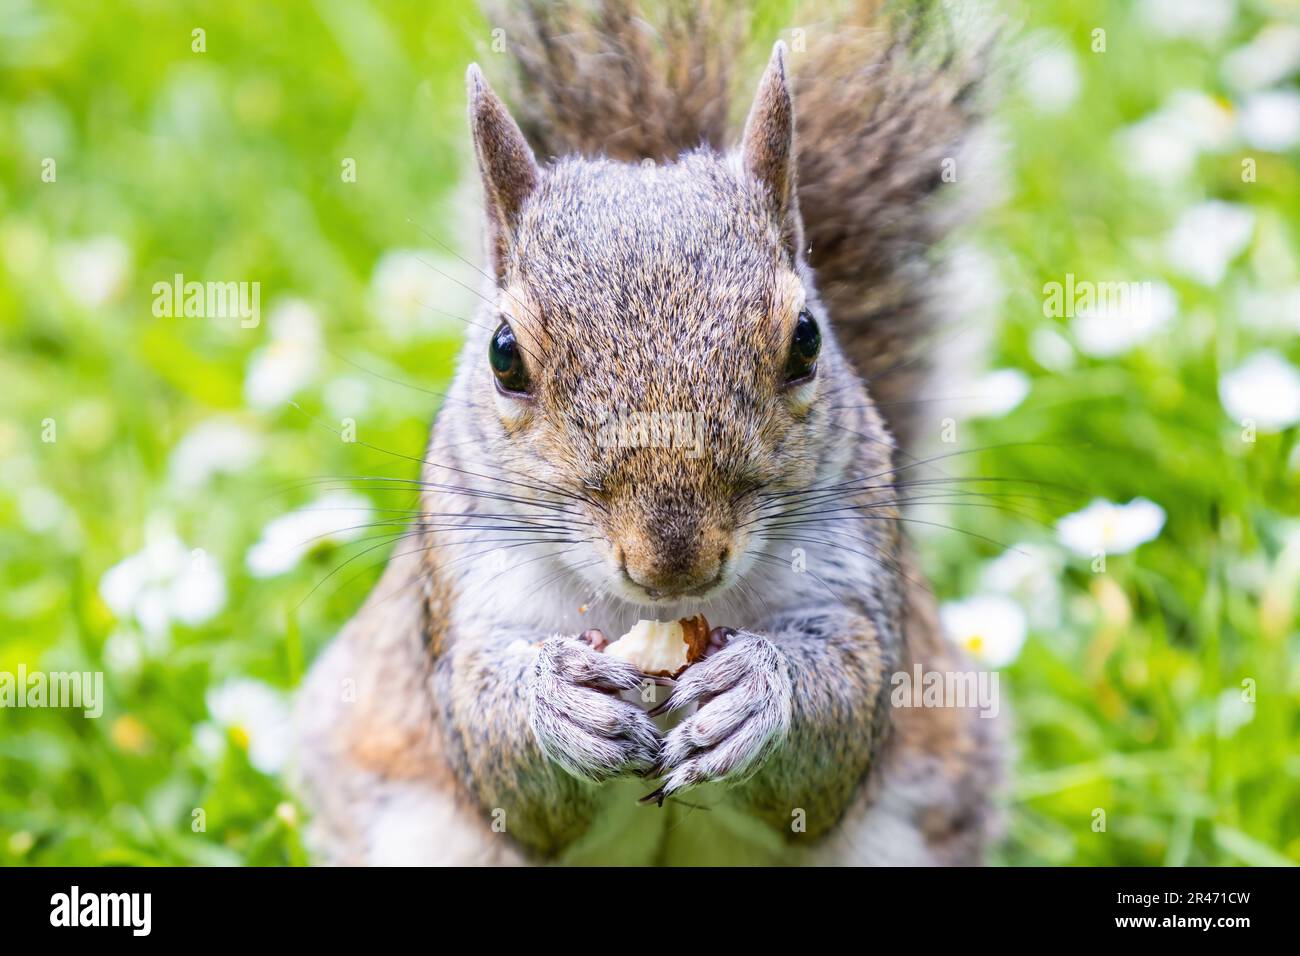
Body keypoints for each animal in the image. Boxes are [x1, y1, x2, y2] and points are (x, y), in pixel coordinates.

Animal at [297, 0, 1003, 868]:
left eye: (806, 340)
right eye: (504, 356)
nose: (672, 562)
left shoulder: (851, 577)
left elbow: (846, 710)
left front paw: (759, 689)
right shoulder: (466, 595)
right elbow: (492, 745)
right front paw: (558, 702)